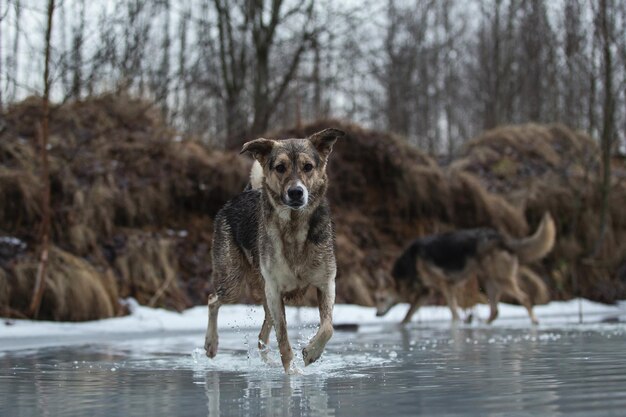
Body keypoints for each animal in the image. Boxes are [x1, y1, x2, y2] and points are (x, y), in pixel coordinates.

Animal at [204, 127, 342, 374]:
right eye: (280, 167)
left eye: (308, 166)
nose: (296, 192)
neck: (294, 228)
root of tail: (243, 194)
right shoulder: (275, 290)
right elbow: (284, 337)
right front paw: (292, 372)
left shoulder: (326, 283)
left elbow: (328, 327)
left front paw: (310, 353)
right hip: (234, 280)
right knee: (213, 299)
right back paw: (211, 344)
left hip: (265, 295)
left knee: (262, 336)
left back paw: (268, 362)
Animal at [372, 211, 552, 324]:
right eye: (376, 299)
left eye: (380, 299)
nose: (376, 314)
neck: (410, 265)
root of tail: (501, 238)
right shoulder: (426, 292)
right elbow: (408, 314)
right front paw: (400, 326)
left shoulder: (445, 285)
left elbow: (453, 311)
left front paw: (457, 323)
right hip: (490, 282)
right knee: (495, 311)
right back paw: (481, 324)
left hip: (501, 279)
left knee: (524, 298)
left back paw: (535, 321)